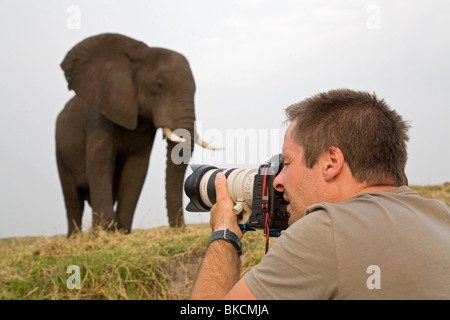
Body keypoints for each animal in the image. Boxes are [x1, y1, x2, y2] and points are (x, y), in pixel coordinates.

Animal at [55, 33, 215, 236]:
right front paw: (106, 231)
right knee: (72, 198)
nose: (180, 228)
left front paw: (121, 231)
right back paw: (74, 237)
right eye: (159, 85)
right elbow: (100, 162)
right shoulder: (100, 115)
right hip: (61, 150)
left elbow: (137, 167)